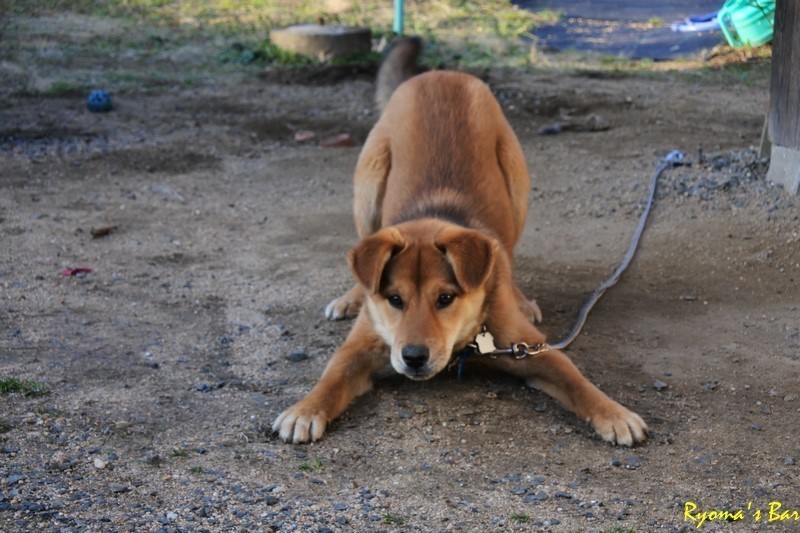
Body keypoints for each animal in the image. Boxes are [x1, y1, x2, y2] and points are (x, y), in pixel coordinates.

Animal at [272, 38, 648, 444]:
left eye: (445, 298)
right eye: (394, 299)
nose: (414, 357)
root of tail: (440, 74)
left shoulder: (532, 349)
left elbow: (576, 379)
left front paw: (614, 413)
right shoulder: (359, 346)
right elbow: (332, 376)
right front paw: (305, 409)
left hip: (516, 183)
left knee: (509, 250)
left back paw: (521, 297)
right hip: (368, 186)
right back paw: (350, 298)